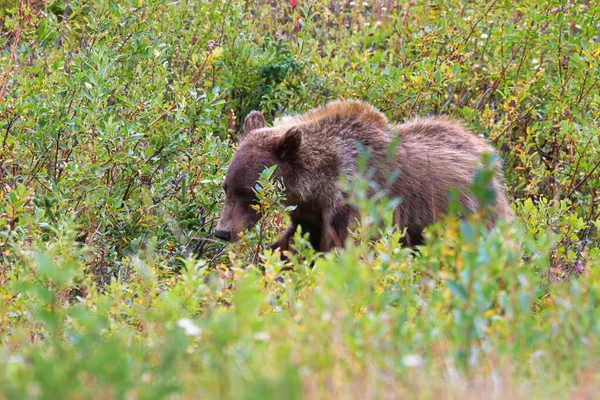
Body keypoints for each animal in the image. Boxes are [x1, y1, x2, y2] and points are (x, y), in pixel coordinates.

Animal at [213, 100, 512, 252]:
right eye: (226, 187)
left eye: (249, 193)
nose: (222, 231)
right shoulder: (310, 210)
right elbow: (295, 242)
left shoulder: (356, 200)